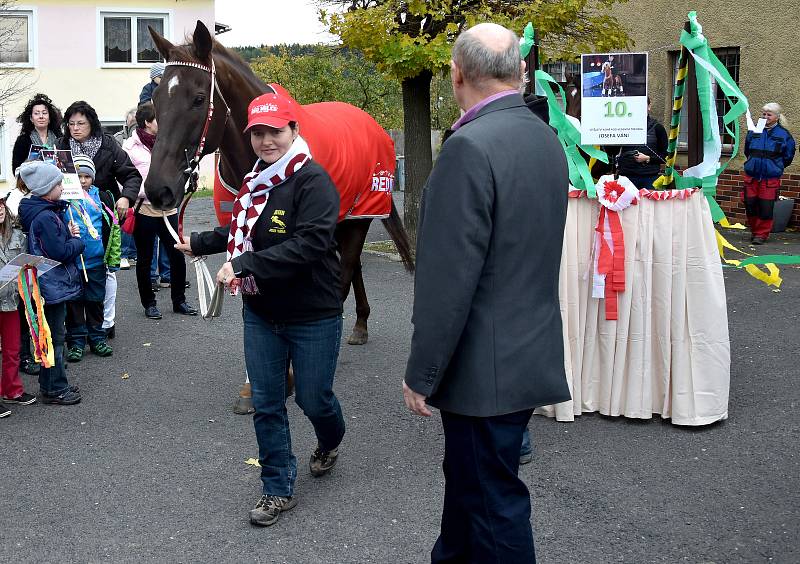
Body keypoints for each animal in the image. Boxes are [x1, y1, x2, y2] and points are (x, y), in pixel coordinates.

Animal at [145, 23, 416, 352]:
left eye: (198, 99)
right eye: (156, 99)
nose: (158, 189)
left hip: (357, 218)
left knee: (348, 269)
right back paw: (360, 324)